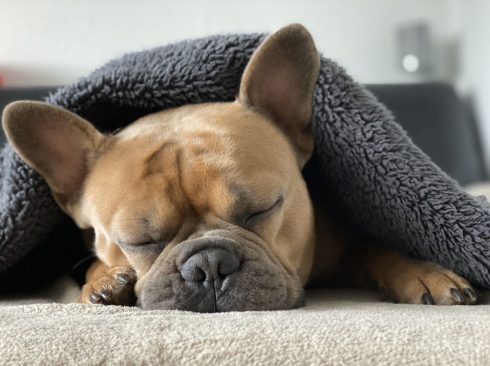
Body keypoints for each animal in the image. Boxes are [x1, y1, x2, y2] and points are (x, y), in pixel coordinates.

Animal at [0, 22, 478, 310]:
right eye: (138, 240)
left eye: (262, 209)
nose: (208, 265)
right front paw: (103, 280)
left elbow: (375, 247)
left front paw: (421, 271)